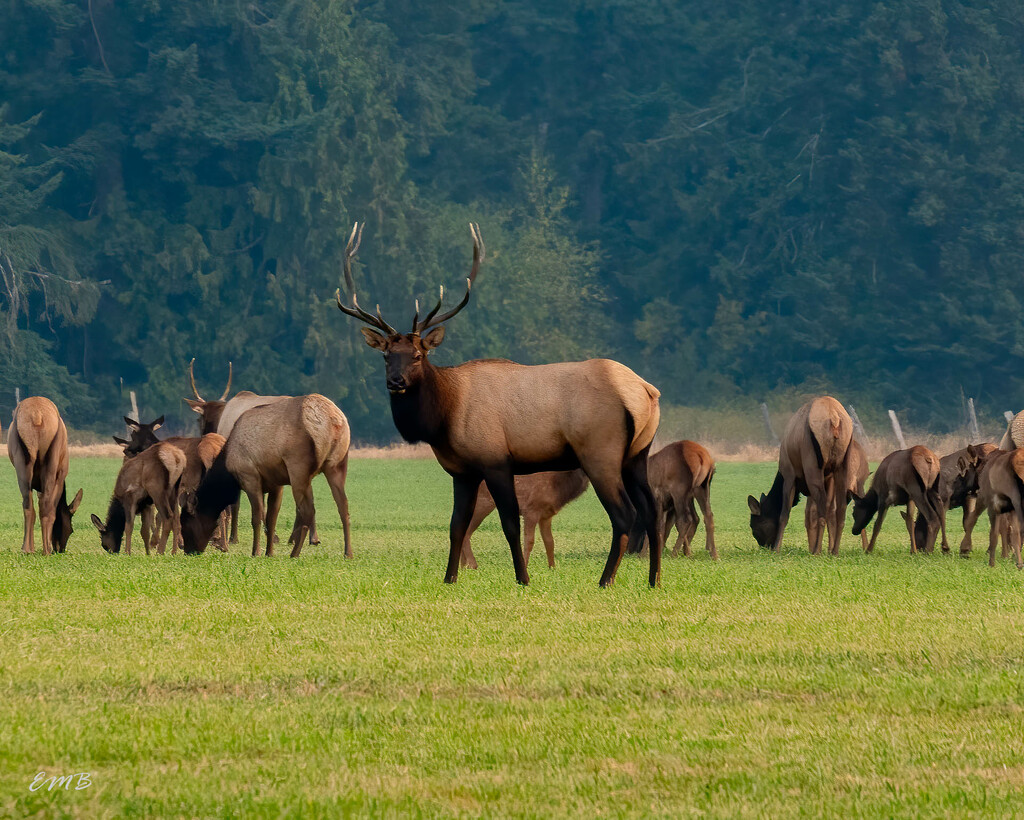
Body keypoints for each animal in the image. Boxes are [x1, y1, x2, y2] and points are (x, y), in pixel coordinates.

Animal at [6, 395, 82, 552]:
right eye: (70, 529)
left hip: (22, 460)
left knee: (28, 505)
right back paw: (46, 550)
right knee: (47, 507)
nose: (60, 549)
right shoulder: (61, 476)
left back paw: (27, 549)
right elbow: (50, 508)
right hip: (51, 460)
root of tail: (37, 415)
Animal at [178, 393, 350, 560]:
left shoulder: (249, 477)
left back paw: (294, 553)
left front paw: (256, 552)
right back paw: (348, 553)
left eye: (186, 523)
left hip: (298, 467)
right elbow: (271, 519)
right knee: (343, 506)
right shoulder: (277, 484)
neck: (227, 467)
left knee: (308, 510)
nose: (188, 550)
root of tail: (331, 421)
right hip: (337, 464)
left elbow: (256, 517)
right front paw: (269, 552)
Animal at [460, 466, 589, 569]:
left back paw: (463, 566)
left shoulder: (546, 516)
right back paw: (472, 565)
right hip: (483, 503)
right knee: (466, 532)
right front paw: (525, 566)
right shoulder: (531, 509)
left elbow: (549, 541)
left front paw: (552, 567)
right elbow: (529, 541)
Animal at [749, 395, 851, 552]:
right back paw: (833, 551)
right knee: (839, 509)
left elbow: (784, 514)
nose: (765, 547)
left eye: (753, 527)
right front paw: (821, 548)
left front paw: (777, 549)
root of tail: (834, 418)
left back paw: (817, 551)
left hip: (812, 465)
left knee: (822, 509)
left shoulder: (789, 475)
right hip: (841, 466)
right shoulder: (828, 478)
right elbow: (815, 514)